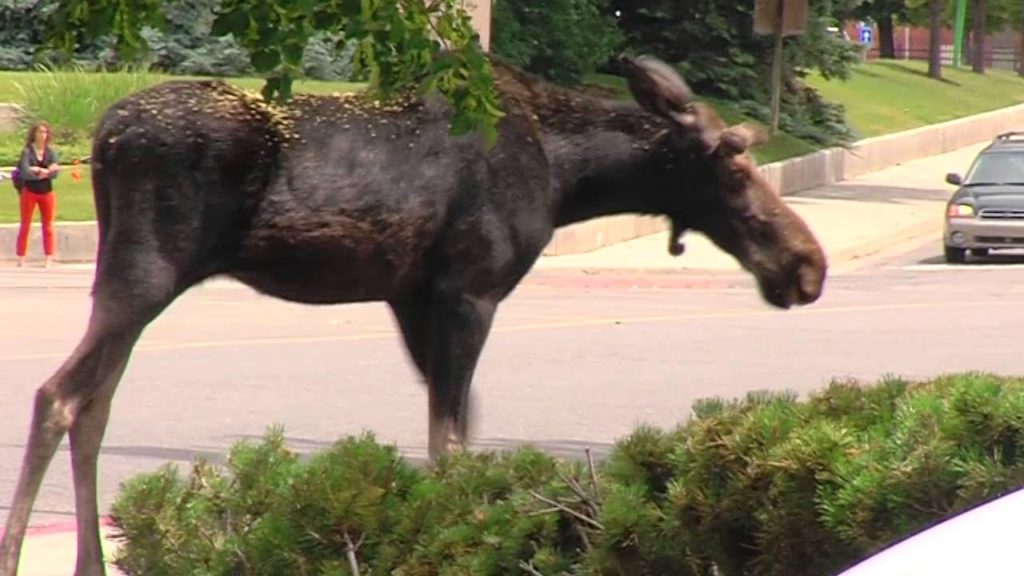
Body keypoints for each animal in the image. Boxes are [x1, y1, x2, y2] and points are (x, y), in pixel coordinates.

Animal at [0, 54, 827, 575]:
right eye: (732, 167)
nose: (807, 266)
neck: (567, 176)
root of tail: (102, 138)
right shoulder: (469, 289)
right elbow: (449, 441)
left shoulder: (409, 297)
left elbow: (460, 431)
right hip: (147, 273)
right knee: (58, 396)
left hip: (132, 280)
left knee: (94, 405)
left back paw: (91, 564)